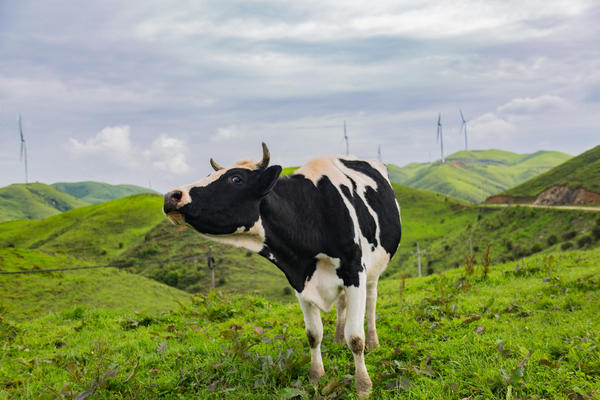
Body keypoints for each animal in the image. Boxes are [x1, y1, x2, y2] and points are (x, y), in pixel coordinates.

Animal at [162, 143, 400, 396]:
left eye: (236, 178)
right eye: (210, 175)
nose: (171, 196)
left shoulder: (354, 271)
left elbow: (355, 337)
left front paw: (363, 385)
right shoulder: (299, 279)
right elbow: (313, 334)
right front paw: (316, 377)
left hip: (373, 270)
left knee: (371, 302)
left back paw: (373, 341)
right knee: (341, 304)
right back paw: (337, 339)